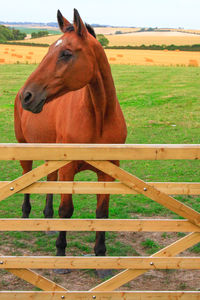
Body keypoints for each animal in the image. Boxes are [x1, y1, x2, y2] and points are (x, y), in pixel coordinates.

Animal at [14, 8, 126, 276]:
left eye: (66, 53)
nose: (27, 96)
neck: (98, 117)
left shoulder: (107, 173)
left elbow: (102, 213)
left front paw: (101, 261)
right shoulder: (68, 169)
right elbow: (66, 210)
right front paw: (61, 258)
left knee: (49, 181)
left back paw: (47, 220)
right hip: (25, 150)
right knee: (27, 178)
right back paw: (25, 218)